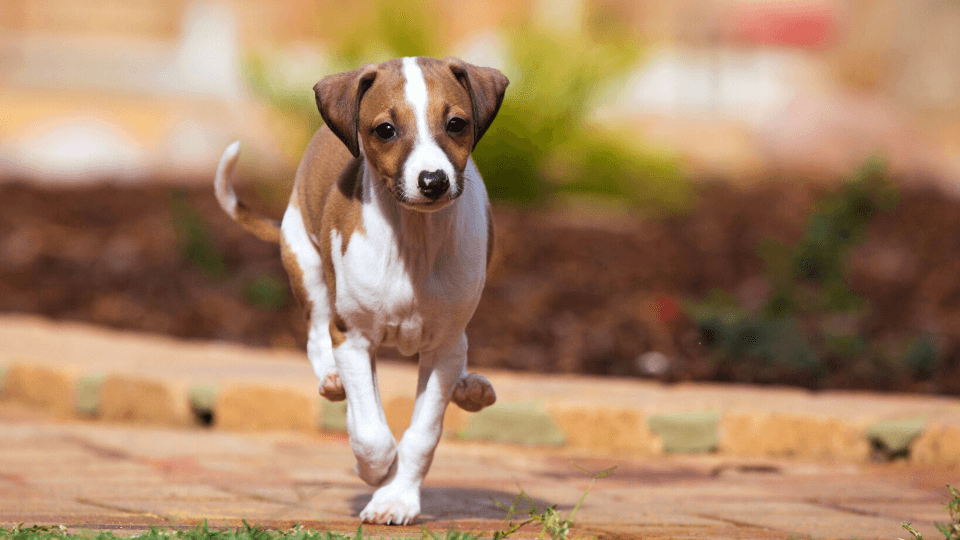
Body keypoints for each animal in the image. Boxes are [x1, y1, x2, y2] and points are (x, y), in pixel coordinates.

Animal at [212, 58, 510, 524]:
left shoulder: (443, 347)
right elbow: (371, 433)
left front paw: (397, 497)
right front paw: (376, 472)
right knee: (318, 337)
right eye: (386, 129)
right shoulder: (351, 337)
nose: (433, 181)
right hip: (306, 264)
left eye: (456, 124)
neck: (413, 242)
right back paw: (335, 382)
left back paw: (469, 387)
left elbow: (422, 434)